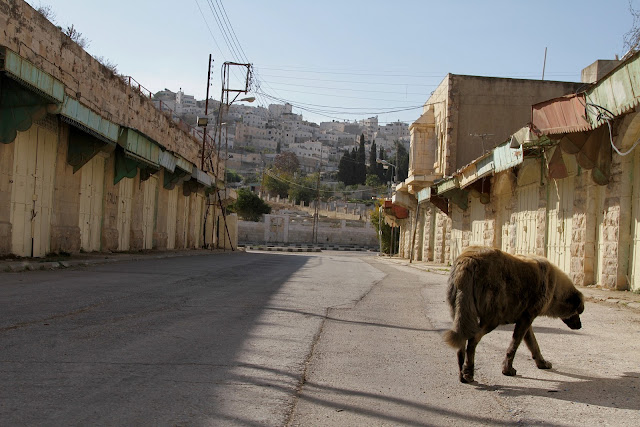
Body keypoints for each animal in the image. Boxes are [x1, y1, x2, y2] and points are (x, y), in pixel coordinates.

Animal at [444, 246, 584, 383]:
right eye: (578, 311)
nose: (580, 326)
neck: (555, 288)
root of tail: (468, 260)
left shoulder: (525, 319)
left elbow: (534, 344)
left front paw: (541, 363)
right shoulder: (526, 319)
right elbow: (514, 345)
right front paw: (507, 369)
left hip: (461, 313)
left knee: (461, 342)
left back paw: (462, 375)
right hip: (492, 319)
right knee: (472, 341)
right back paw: (468, 372)